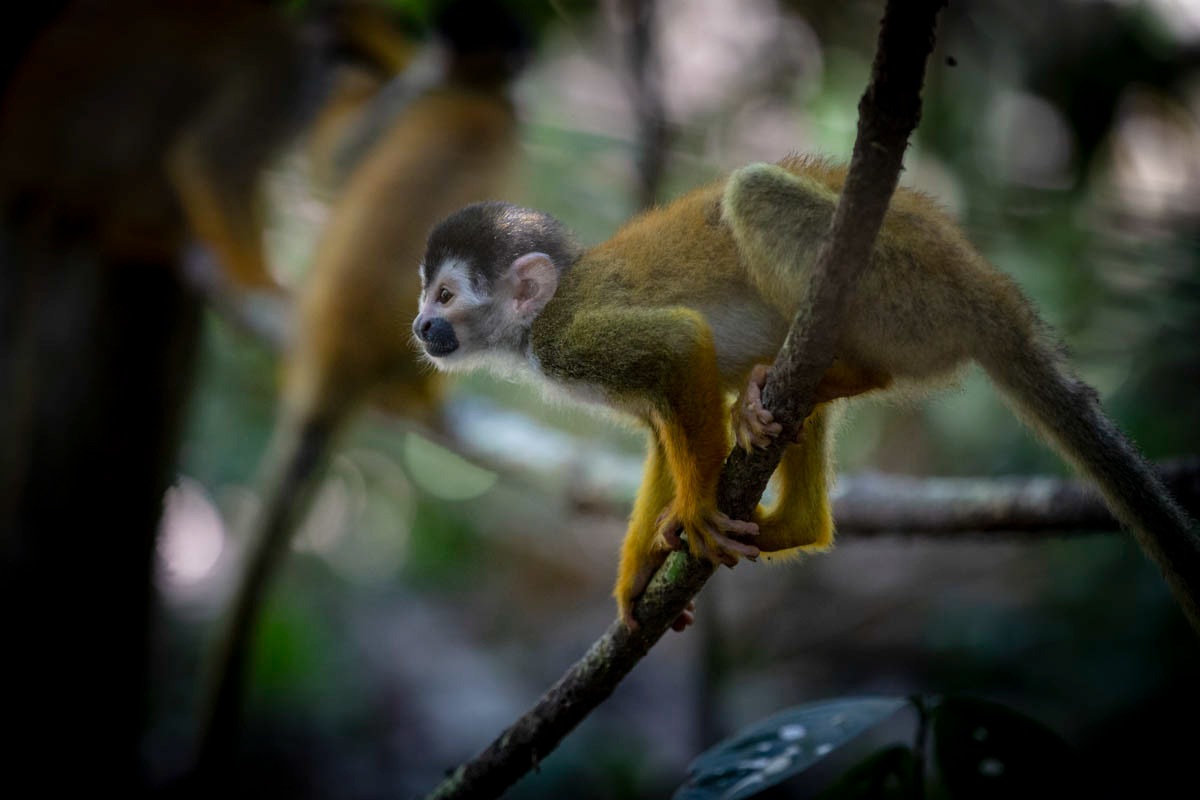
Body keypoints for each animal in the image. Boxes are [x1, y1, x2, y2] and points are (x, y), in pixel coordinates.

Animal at [412, 154, 1200, 634]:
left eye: (445, 295)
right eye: (425, 295)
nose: (420, 325)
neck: (536, 321)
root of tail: (987, 291)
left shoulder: (568, 336)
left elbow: (679, 344)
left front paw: (695, 514)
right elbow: (663, 422)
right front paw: (641, 572)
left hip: (905, 289)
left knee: (755, 194)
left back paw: (831, 381)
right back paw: (796, 516)